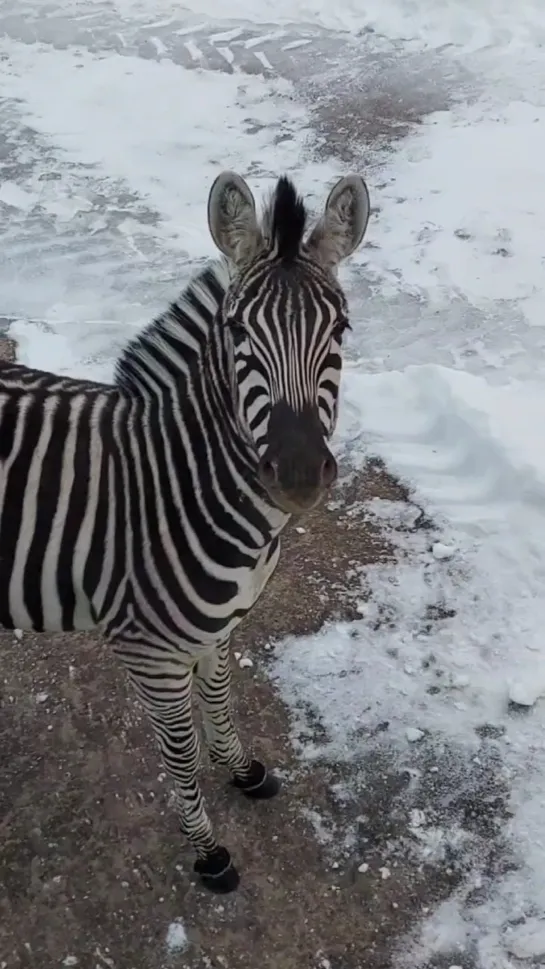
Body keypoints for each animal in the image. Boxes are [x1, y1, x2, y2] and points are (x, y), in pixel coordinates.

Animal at [0, 168, 370, 892]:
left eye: (340, 326)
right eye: (236, 331)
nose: (297, 475)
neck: (177, 481)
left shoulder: (216, 630)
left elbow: (220, 700)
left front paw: (242, 770)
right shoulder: (148, 653)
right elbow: (177, 751)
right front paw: (207, 850)